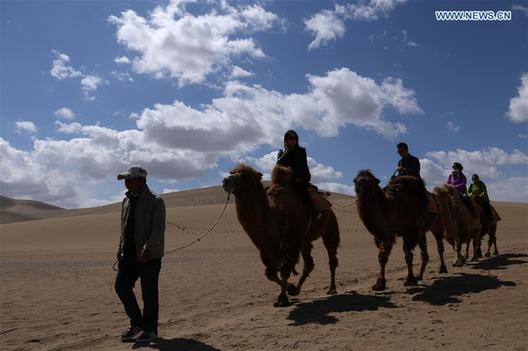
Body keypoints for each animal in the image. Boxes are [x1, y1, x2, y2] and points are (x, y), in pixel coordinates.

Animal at [222, 164, 338, 306]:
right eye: (232, 172)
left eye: (244, 176)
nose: (225, 180)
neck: (275, 214)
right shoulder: (265, 247)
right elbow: (270, 273)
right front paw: (290, 288)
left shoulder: (291, 243)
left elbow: (284, 271)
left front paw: (282, 299)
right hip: (304, 241)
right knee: (309, 264)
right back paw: (296, 290)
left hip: (329, 227)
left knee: (331, 258)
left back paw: (332, 289)